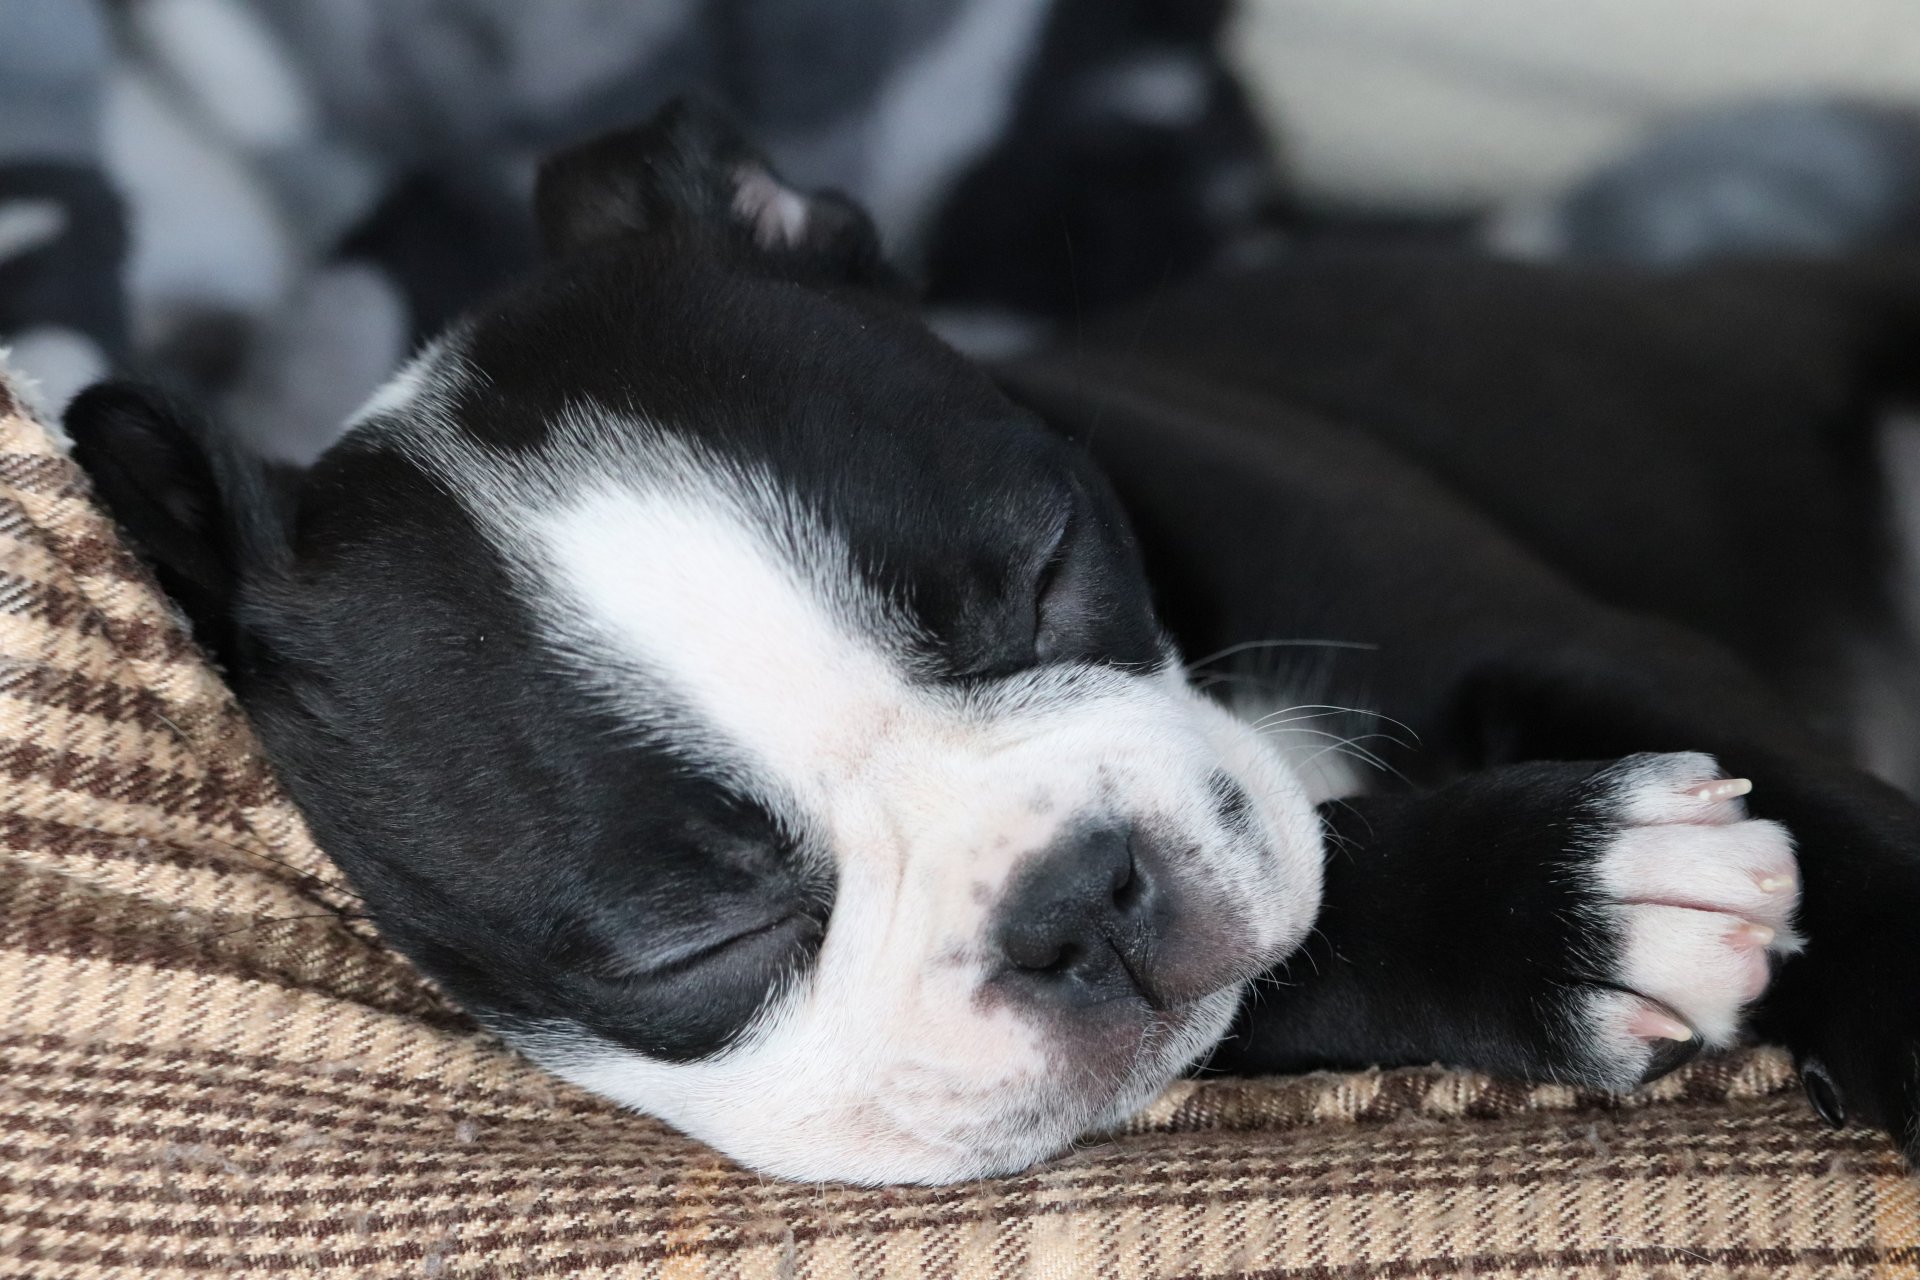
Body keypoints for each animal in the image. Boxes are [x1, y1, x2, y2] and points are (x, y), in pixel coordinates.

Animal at [60, 105, 1920, 1189]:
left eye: (1044, 576)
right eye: (690, 947)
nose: (1078, 900)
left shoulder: (1571, 637)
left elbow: (1838, 823)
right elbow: (1287, 951)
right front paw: (1556, 896)